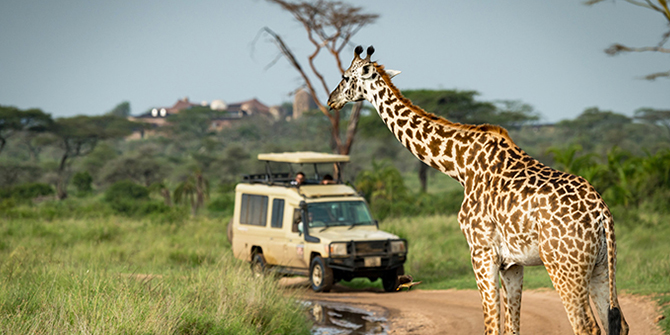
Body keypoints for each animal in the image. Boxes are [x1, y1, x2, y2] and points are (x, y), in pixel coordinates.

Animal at [328, 45, 632, 335]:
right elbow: (511, 327)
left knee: (586, 326)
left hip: (564, 266)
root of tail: (601, 214)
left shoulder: (481, 251)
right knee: (618, 323)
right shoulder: (512, 263)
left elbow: (491, 326)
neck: (459, 166)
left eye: (345, 77)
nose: (331, 100)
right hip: (601, 266)